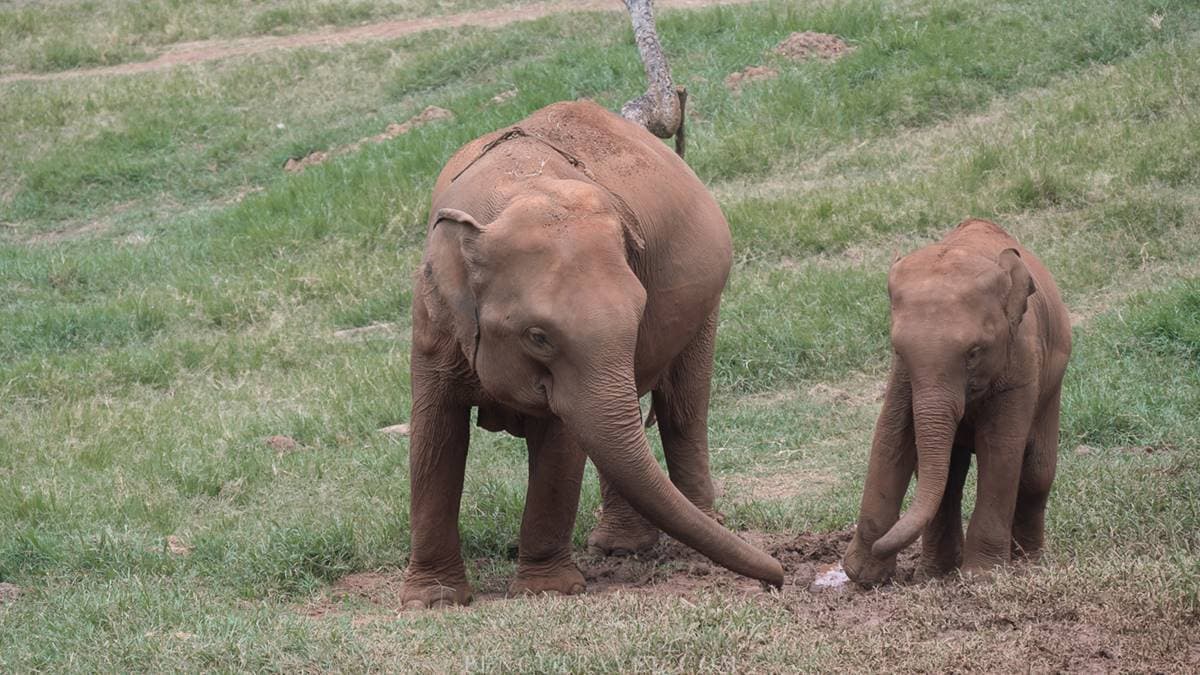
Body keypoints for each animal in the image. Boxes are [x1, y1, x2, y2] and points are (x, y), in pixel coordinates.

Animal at [399, 100, 784, 608]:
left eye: (639, 314)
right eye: (538, 337)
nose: (779, 577)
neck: (516, 189)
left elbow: (562, 443)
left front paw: (545, 591)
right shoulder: (432, 322)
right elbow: (435, 436)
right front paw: (431, 601)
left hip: (707, 303)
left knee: (683, 407)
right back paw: (622, 547)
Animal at [843, 218, 1072, 585]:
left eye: (974, 353)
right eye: (897, 350)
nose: (881, 547)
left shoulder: (1020, 366)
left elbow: (1001, 449)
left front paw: (982, 577)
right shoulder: (903, 377)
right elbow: (891, 436)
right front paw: (864, 576)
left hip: (1052, 384)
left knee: (1037, 473)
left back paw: (1028, 564)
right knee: (950, 476)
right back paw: (935, 573)